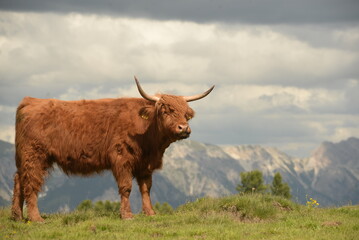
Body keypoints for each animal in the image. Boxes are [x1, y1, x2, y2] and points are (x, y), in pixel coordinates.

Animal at [10, 77, 214, 221]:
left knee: (19, 179)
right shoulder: (121, 159)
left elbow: (146, 189)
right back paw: (36, 218)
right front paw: (127, 215)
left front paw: (150, 213)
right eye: (165, 111)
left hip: (24, 157)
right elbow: (126, 187)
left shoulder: (145, 165)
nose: (184, 128)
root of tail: (31, 101)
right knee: (31, 183)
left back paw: (17, 216)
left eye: (186, 113)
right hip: (34, 155)